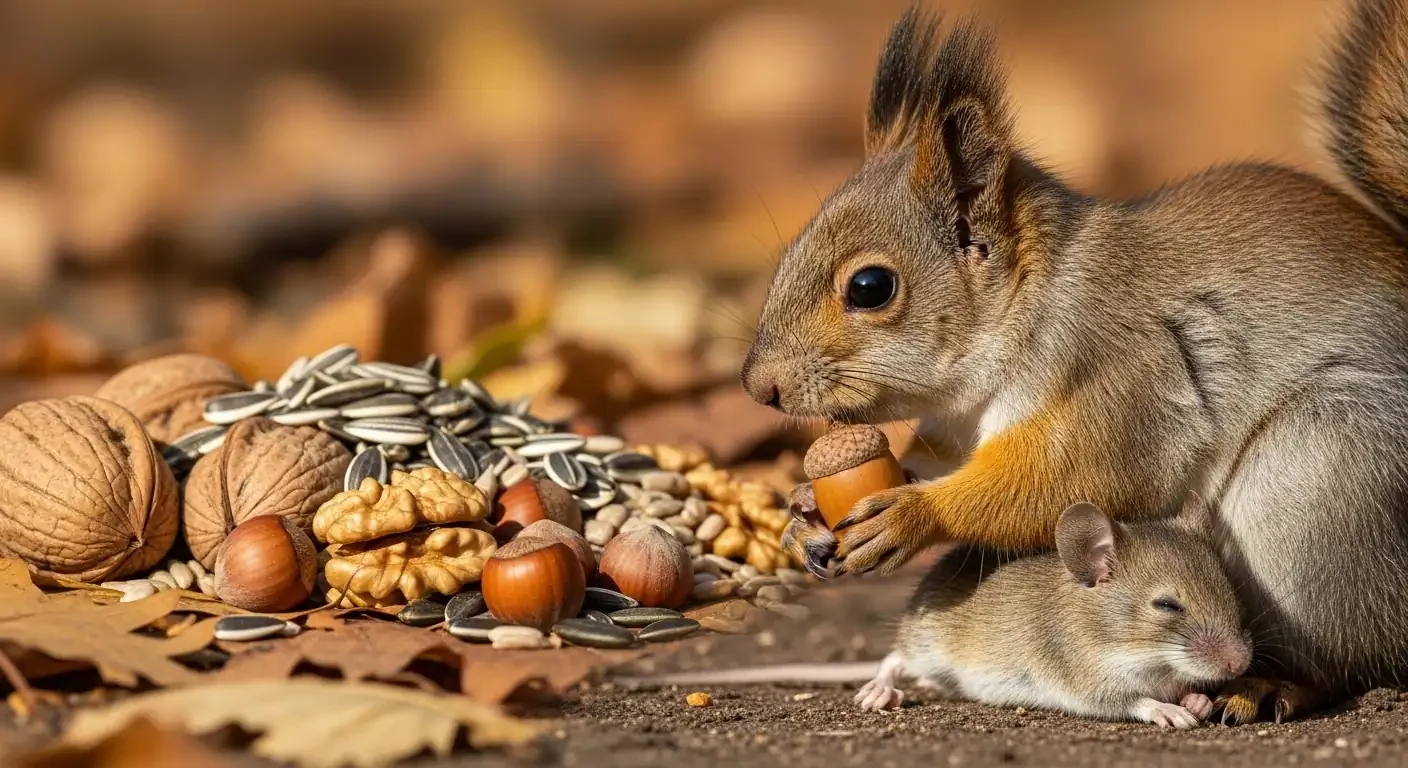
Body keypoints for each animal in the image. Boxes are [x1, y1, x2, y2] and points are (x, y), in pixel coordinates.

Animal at [740, 0, 1408, 724]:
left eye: (870, 287)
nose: (758, 386)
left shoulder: (1124, 371)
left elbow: (1076, 476)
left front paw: (914, 514)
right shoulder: (959, 428)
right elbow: (938, 462)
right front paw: (806, 507)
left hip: (1317, 483)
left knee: (1346, 656)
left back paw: (1266, 686)